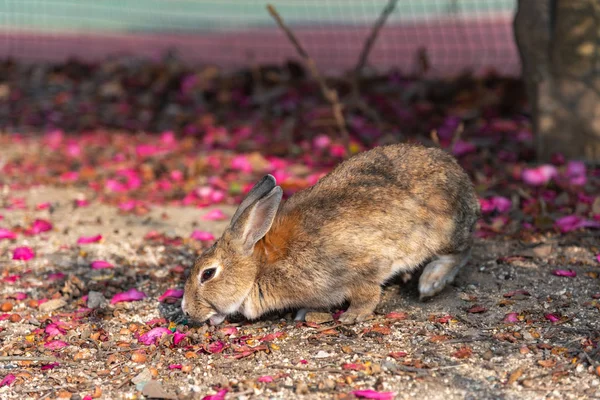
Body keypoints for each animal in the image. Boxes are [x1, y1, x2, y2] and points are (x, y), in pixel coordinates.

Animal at [180, 144, 480, 324]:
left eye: (208, 274)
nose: (185, 309)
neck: (260, 267)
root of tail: (463, 179)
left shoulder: (358, 270)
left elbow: (367, 294)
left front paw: (352, 317)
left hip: (441, 234)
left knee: (462, 251)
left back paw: (431, 282)